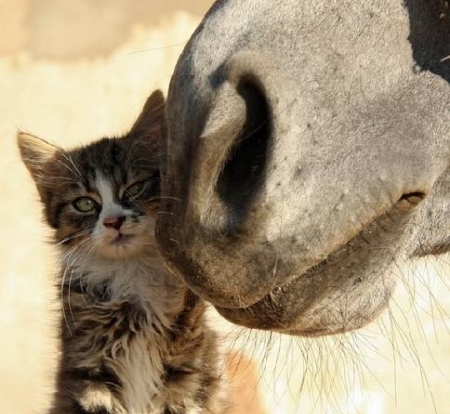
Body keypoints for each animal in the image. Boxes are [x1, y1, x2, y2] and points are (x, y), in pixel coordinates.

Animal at [18, 90, 229, 414]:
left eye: (134, 188)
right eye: (84, 203)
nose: (113, 221)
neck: (131, 272)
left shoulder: (186, 372)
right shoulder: (88, 368)